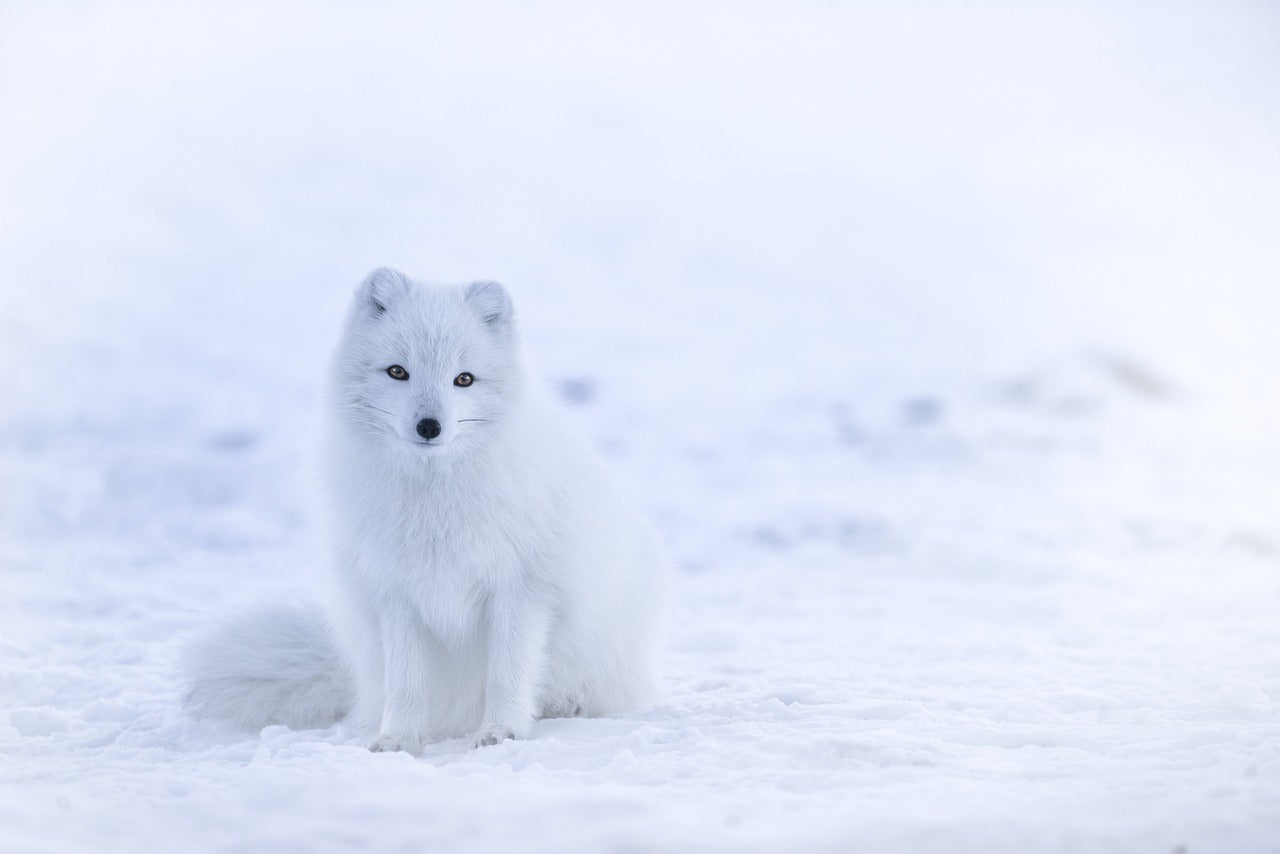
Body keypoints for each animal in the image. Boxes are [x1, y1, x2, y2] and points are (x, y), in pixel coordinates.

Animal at [189, 268, 675, 752]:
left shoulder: (522, 588)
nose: (429, 426)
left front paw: (502, 731)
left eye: (464, 379)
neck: (434, 500)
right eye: (397, 371)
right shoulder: (397, 592)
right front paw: (398, 739)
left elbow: (508, 673)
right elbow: (406, 682)